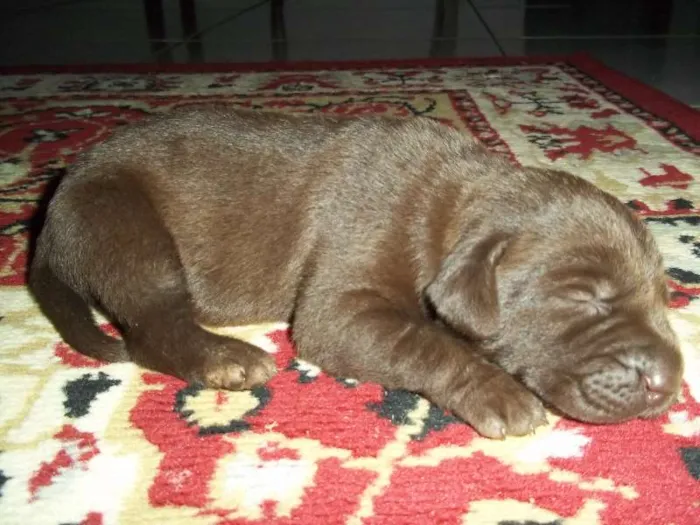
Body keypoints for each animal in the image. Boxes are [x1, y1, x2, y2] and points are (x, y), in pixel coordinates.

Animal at [30, 105, 680, 438]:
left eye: (662, 297)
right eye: (588, 298)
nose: (669, 383)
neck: (446, 209)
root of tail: (53, 213)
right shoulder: (340, 308)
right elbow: (425, 341)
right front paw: (499, 392)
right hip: (128, 228)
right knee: (153, 327)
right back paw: (227, 360)